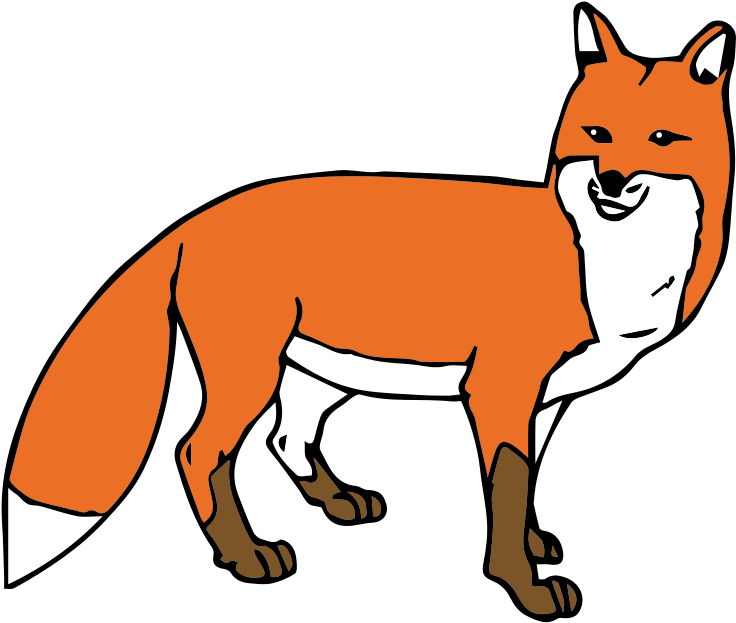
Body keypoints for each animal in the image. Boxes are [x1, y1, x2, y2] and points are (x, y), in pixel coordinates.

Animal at [8, 9, 728, 614]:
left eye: (662, 139)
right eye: (597, 134)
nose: (610, 181)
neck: (605, 264)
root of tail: (200, 217)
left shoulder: (545, 400)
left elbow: (523, 485)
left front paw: (533, 547)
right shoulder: (500, 389)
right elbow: (509, 490)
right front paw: (520, 584)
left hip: (318, 375)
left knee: (287, 438)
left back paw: (333, 499)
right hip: (251, 373)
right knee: (200, 452)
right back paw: (246, 554)